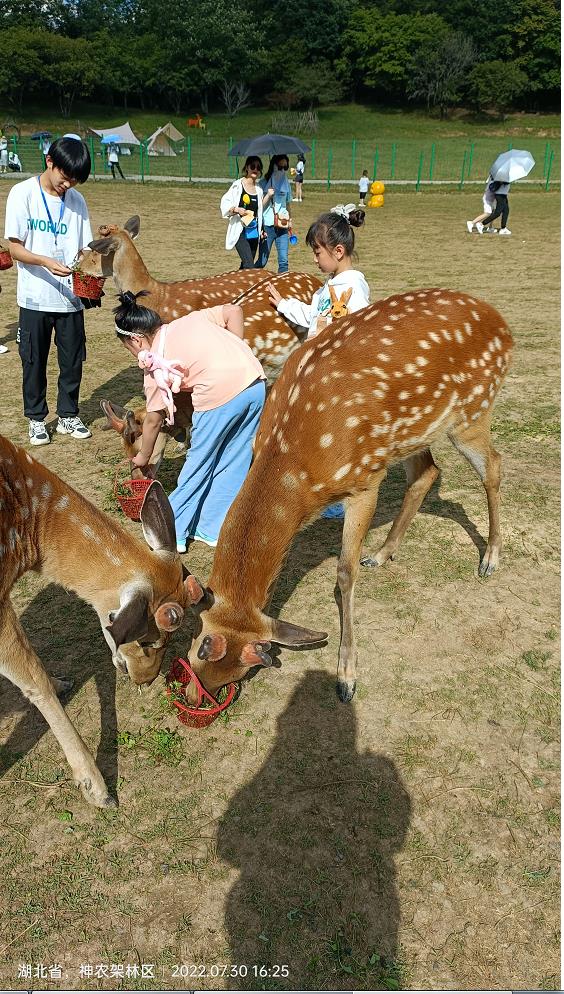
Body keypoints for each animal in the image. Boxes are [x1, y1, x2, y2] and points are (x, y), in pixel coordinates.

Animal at [179, 289, 513, 705]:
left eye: (246, 664)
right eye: (198, 642)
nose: (195, 696)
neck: (294, 458)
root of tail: (503, 325)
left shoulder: (364, 480)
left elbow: (343, 572)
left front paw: (346, 676)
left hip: (472, 411)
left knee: (493, 466)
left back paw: (490, 559)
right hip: (410, 433)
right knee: (428, 473)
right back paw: (382, 554)